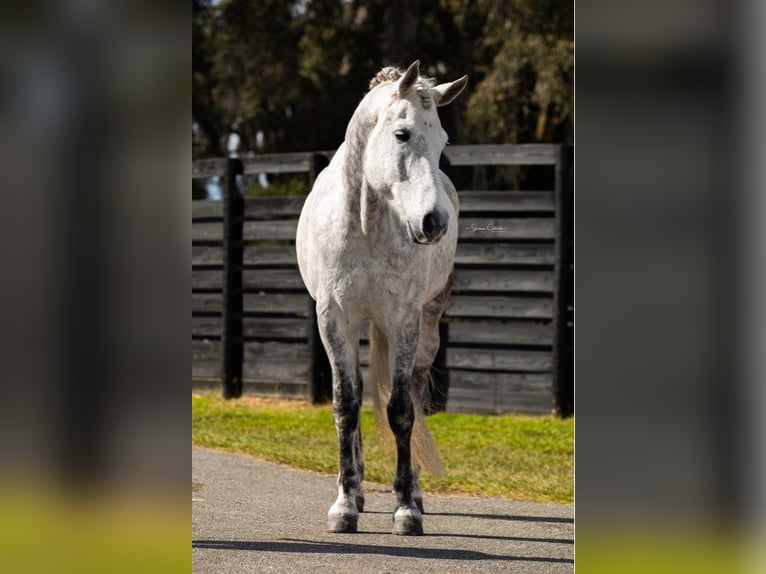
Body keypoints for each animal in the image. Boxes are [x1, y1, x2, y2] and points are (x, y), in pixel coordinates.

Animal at [298, 60, 468, 536]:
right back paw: (355, 490)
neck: (366, 223)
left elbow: (401, 410)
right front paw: (343, 506)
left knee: (413, 392)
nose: (434, 223)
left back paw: (414, 492)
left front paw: (406, 508)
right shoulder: (334, 319)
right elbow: (345, 404)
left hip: (424, 328)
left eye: (443, 141)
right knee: (355, 393)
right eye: (402, 134)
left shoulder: (404, 320)